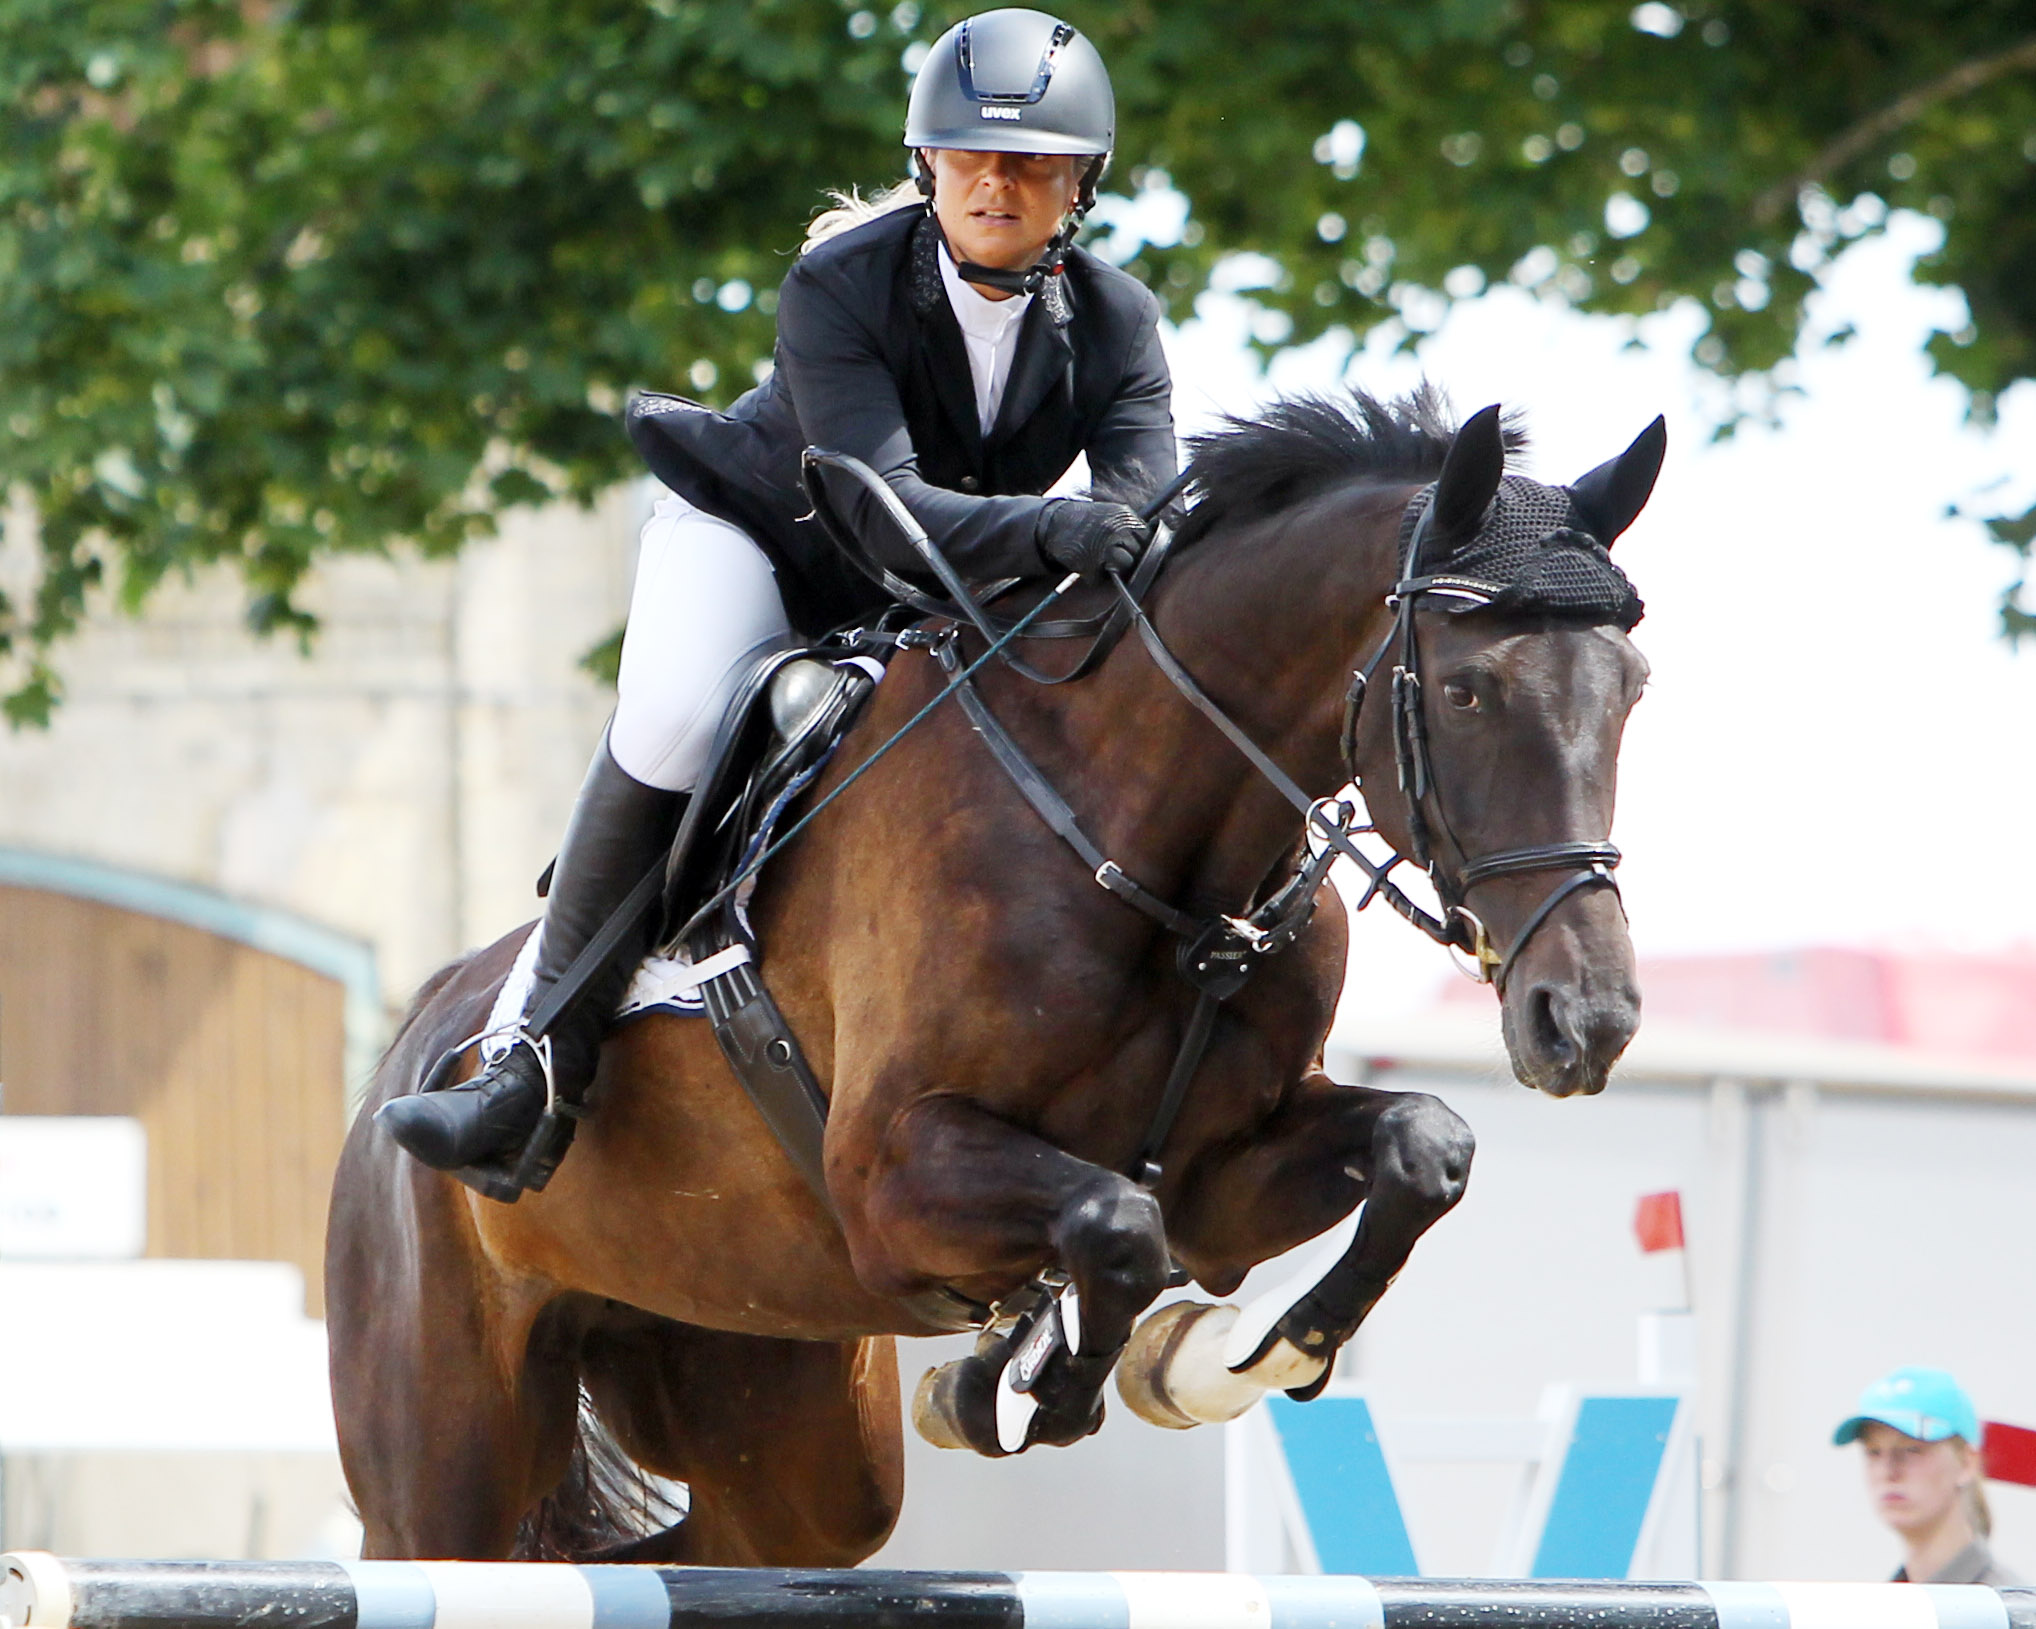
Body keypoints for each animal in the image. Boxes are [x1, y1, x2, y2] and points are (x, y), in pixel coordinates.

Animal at [325, 384, 1661, 1563]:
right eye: (1465, 688)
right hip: (441, 1463)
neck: (1150, 846)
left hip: (770, 1402)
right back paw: (497, 1099)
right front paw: (1026, 1383)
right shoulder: (886, 1174)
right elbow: (1112, 1223)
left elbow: (1418, 1148)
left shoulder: (1222, 1179)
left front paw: (1247, 1352)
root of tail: (410, 1045)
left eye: (1632, 689)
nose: (1582, 1019)